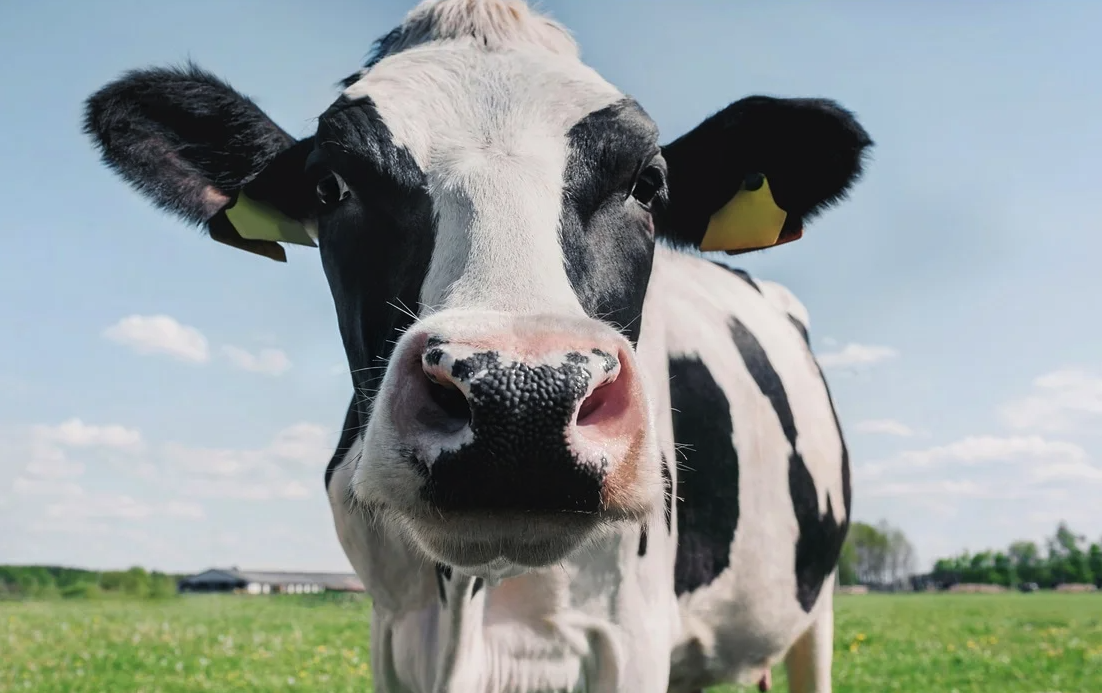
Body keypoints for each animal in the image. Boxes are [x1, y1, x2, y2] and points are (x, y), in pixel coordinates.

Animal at [81, 0, 868, 687]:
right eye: (331, 184)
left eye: (648, 183)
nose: (523, 401)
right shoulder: (393, 630)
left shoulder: (630, 634)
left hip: (816, 607)